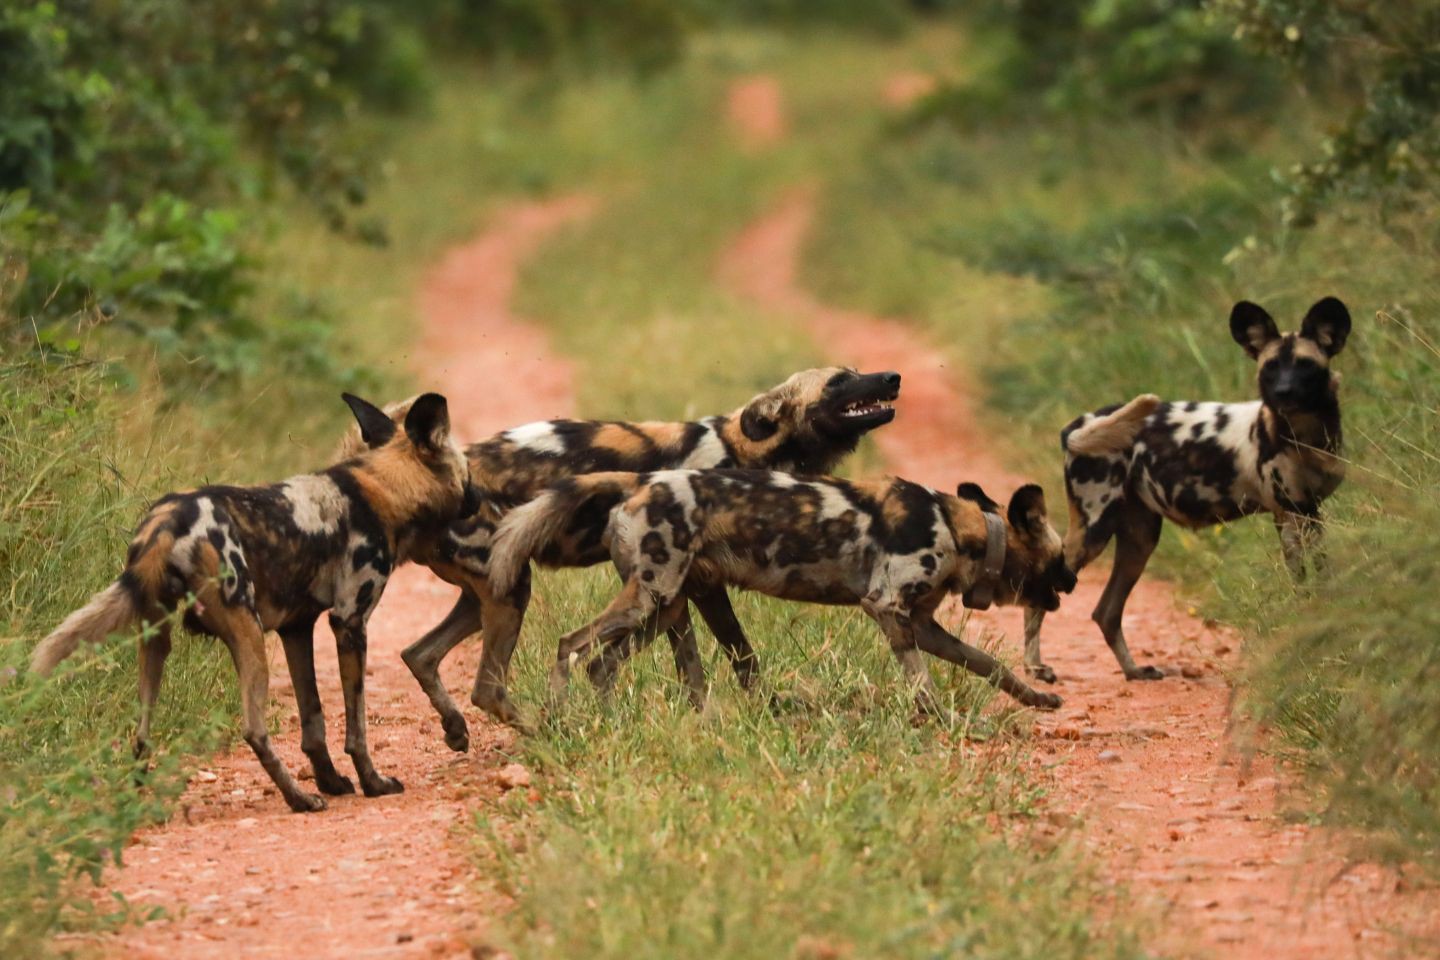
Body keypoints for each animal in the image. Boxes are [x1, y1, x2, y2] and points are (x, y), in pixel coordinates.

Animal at [32, 394, 478, 817]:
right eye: (468, 475)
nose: (478, 499)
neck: (384, 489)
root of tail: (166, 523)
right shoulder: (349, 622)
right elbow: (358, 729)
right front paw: (372, 783)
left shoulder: (297, 630)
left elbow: (314, 720)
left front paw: (332, 780)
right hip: (247, 634)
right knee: (253, 729)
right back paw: (299, 799)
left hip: (155, 640)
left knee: (141, 735)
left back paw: (137, 804)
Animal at [338, 364, 898, 748]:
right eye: (838, 382)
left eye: (855, 373)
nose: (891, 377)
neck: (745, 451)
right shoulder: (698, 587)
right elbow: (732, 656)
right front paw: (751, 712)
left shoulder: (680, 592)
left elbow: (704, 663)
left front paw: (717, 716)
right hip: (513, 590)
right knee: (487, 687)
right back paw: (548, 730)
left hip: (489, 594)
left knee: (420, 654)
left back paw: (457, 730)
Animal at [489, 469, 1077, 716]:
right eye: (1061, 560)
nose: (1072, 582)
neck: (962, 531)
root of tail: (639, 484)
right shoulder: (888, 609)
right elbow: (924, 686)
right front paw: (945, 721)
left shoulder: (924, 626)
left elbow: (988, 665)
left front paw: (1038, 698)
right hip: (648, 603)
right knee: (570, 646)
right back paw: (562, 717)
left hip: (663, 608)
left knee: (601, 665)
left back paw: (612, 721)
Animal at [1025, 296, 1347, 679]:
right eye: (1270, 368)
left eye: (1305, 366)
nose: (1282, 393)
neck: (1306, 436)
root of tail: (1077, 425)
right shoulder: (1293, 514)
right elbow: (1305, 585)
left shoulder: (1307, 514)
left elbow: (1321, 577)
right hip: (1094, 529)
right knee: (1043, 596)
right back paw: (1034, 668)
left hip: (1140, 539)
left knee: (1106, 612)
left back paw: (1134, 671)